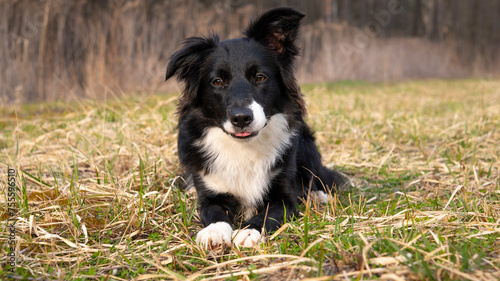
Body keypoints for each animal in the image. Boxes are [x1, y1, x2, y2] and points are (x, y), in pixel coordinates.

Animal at [166, 7, 346, 247]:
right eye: (217, 82)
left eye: (260, 77)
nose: (241, 118)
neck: (244, 146)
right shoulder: (210, 193)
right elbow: (213, 211)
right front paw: (215, 231)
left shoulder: (283, 196)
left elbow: (269, 212)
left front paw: (248, 231)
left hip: (307, 144)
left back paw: (316, 196)